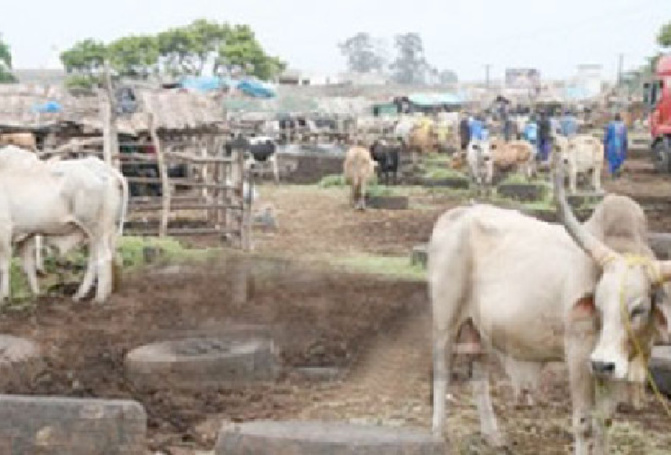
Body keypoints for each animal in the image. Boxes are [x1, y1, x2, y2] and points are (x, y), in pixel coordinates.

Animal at [430, 159, 671, 454]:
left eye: (638, 309)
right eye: (599, 305)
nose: (602, 364)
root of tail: (457, 214)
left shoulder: (618, 366)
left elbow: (604, 422)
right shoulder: (579, 356)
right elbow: (584, 423)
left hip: (480, 329)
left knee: (479, 373)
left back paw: (492, 435)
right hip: (445, 321)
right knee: (442, 369)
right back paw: (438, 434)